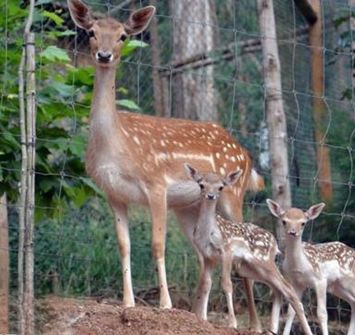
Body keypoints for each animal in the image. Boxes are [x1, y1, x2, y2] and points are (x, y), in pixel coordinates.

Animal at [68, 0, 266, 326]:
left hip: (233, 195)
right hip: (189, 206)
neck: (116, 147)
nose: (104, 55)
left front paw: (164, 304)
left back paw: (254, 323)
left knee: (241, 249)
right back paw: (200, 316)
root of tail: (247, 155)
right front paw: (128, 303)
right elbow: (124, 245)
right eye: (92, 32)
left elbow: (157, 244)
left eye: (123, 36)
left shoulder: (156, 184)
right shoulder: (113, 194)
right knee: (203, 254)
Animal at [185, 166, 312, 335]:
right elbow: (206, 284)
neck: (208, 233)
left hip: (264, 261)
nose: (211, 196)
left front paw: (232, 323)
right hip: (249, 268)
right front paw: (203, 319)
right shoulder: (208, 256)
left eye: (221, 187)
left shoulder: (226, 250)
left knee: (289, 289)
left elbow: (226, 284)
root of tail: (274, 243)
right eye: (201, 185)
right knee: (278, 290)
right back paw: (272, 329)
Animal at [268, 200, 354, 335]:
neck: (299, 267)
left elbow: (322, 314)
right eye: (284, 221)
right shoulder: (297, 283)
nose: (293, 232)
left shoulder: (320, 280)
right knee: (353, 303)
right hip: (337, 286)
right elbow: (292, 311)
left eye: (303, 223)